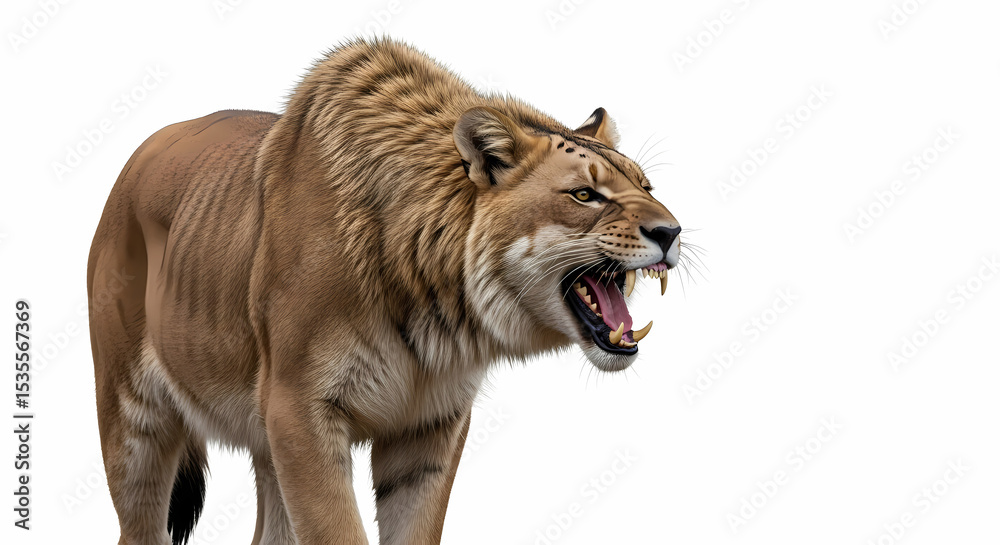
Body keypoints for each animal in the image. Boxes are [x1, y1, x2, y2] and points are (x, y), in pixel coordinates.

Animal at [87, 37, 682, 545]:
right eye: (585, 194)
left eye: (646, 186)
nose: (672, 232)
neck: (444, 310)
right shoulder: (300, 410)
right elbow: (335, 531)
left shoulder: (430, 427)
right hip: (132, 419)